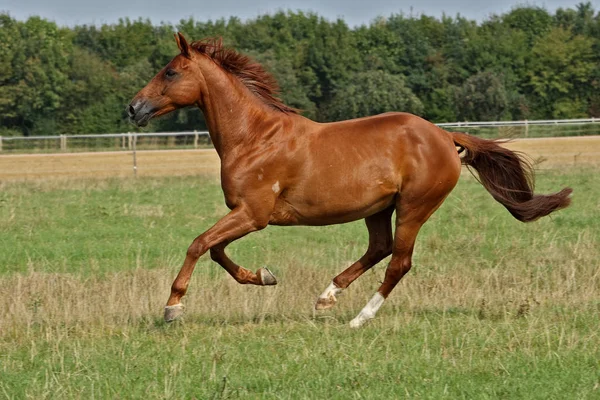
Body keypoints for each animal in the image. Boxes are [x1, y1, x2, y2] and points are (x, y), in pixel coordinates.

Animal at [127, 33, 572, 328]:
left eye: (170, 72)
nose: (133, 108)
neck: (255, 137)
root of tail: (445, 137)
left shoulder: (253, 213)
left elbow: (199, 244)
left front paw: (172, 308)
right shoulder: (246, 214)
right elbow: (216, 251)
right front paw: (265, 277)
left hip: (413, 207)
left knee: (399, 262)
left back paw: (359, 318)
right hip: (378, 209)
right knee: (379, 248)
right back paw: (327, 298)